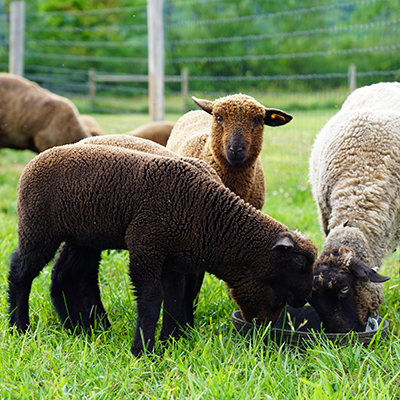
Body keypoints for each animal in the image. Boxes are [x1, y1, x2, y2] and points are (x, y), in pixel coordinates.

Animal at [7, 144, 318, 356]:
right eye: (299, 263)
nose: (306, 297)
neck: (210, 217)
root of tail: (36, 159)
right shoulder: (146, 247)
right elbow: (152, 299)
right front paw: (143, 350)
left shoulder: (174, 259)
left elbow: (175, 299)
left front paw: (171, 343)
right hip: (38, 229)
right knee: (20, 271)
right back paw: (18, 326)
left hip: (83, 237)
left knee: (65, 277)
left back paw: (80, 329)